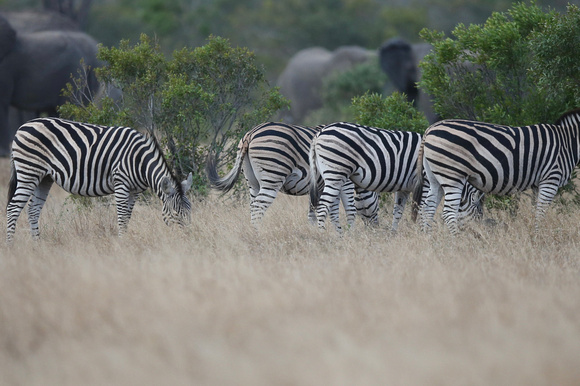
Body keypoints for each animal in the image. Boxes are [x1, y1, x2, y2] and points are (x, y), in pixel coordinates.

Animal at [6, 116, 193, 243]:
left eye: (190, 212)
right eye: (176, 213)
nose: (188, 240)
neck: (139, 161)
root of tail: (22, 126)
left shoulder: (135, 191)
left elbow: (127, 217)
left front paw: (125, 241)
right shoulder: (121, 184)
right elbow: (122, 217)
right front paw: (123, 244)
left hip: (44, 178)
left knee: (33, 210)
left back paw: (37, 245)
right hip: (28, 171)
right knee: (13, 208)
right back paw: (10, 247)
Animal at [205, 121, 380, 229]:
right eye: (378, 201)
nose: (375, 231)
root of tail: (251, 134)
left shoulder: (317, 187)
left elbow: (313, 212)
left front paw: (314, 232)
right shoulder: (344, 181)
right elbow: (349, 210)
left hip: (252, 182)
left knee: (252, 205)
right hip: (272, 176)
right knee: (258, 206)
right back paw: (258, 234)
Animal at [308, 120, 484, 231]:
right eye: (478, 212)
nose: (477, 234)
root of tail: (319, 134)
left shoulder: (404, 188)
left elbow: (398, 212)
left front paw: (394, 234)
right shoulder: (426, 182)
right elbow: (423, 209)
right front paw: (422, 232)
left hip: (332, 175)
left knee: (331, 207)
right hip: (336, 172)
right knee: (323, 206)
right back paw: (323, 234)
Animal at [414, 108, 580, 235]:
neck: (568, 142)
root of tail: (430, 129)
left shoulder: (538, 183)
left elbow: (535, 209)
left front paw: (535, 234)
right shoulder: (551, 177)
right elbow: (541, 211)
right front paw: (540, 237)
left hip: (435, 178)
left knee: (427, 209)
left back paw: (428, 239)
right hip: (452, 176)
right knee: (448, 213)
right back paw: (456, 243)